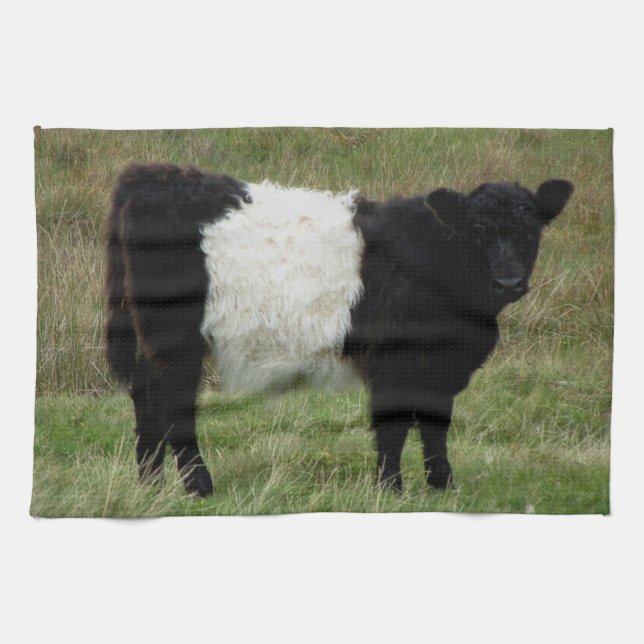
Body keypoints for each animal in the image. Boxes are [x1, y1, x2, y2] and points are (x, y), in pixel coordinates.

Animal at [105, 163, 573, 497]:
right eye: (477, 230)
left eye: (531, 230)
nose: (509, 282)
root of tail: (151, 174)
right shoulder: (394, 362)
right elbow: (393, 427)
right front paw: (390, 490)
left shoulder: (440, 368)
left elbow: (435, 427)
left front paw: (443, 487)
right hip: (176, 338)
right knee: (173, 405)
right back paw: (198, 487)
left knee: (146, 394)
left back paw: (150, 484)